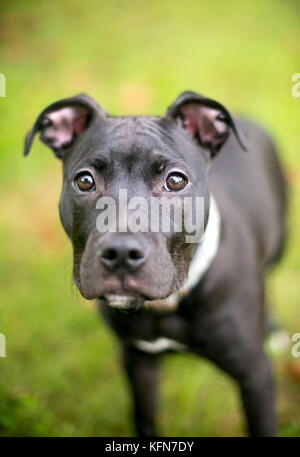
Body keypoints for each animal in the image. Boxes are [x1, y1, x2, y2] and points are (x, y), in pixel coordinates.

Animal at [24, 91, 288, 436]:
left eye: (175, 181)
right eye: (84, 181)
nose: (121, 253)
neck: (169, 307)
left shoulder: (254, 375)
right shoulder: (138, 360)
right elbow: (145, 418)